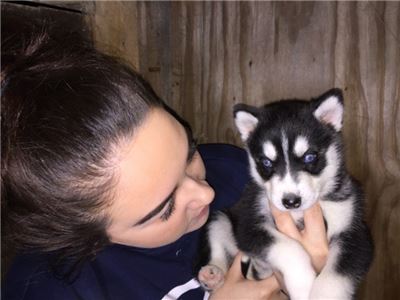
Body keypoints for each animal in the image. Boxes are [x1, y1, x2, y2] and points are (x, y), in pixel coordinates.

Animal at [198, 88, 374, 298]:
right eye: (266, 162)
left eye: (310, 157)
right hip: (219, 218)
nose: (291, 201)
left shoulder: (355, 233)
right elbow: (288, 247)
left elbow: (335, 277)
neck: (298, 214)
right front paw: (303, 284)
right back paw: (213, 274)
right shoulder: (249, 222)